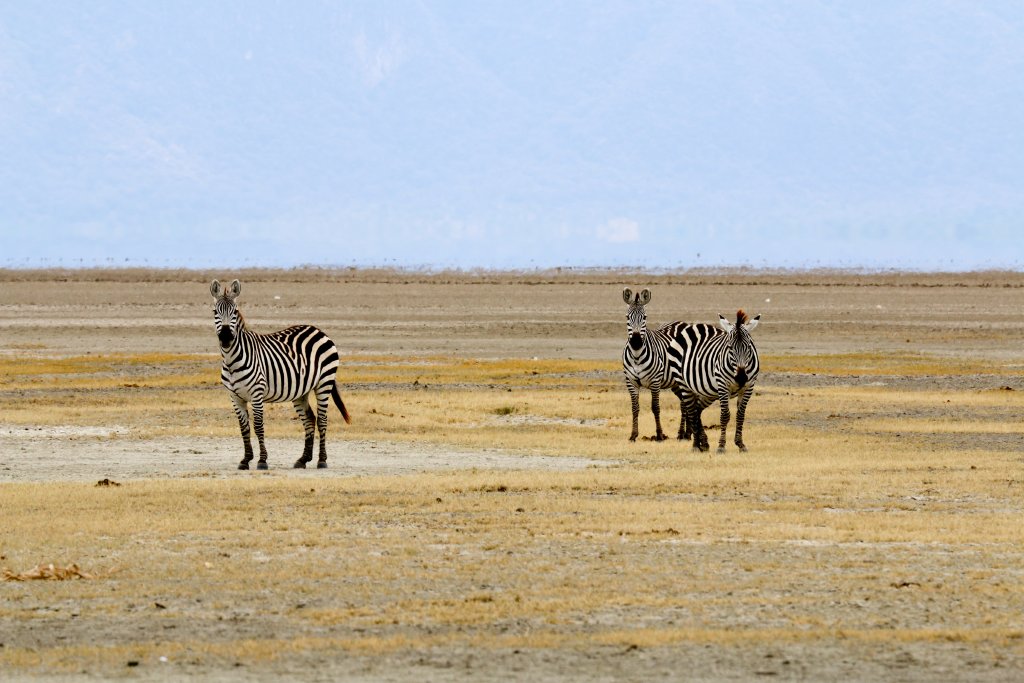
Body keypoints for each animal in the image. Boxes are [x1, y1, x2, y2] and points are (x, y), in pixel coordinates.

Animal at [210, 279, 351, 470]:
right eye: (215, 311)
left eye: (235, 311)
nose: (225, 337)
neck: (232, 361)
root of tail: (317, 330)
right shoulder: (235, 397)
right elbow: (244, 428)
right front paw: (245, 460)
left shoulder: (257, 394)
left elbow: (258, 426)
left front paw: (262, 461)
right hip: (301, 391)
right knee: (310, 419)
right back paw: (303, 459)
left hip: (324, 383)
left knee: (322, 419)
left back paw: (322, 460)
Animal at [621, 287, 696, 443]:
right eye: (627, 317)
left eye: (644, 317)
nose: (636, 342)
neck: (636, 356)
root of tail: (682, 322)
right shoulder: (631, 382)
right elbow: (634, 408)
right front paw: (633, 435)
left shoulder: (655, 381)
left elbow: (655, 407)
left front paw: (660, 435)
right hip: (675, 383)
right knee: (685, 403)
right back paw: (686, 433)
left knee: (685, 404)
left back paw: (684, 434)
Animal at [673, 310, 761, 453]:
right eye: (729, 347)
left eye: (748, 347)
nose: (741, 378)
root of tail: (695, 325)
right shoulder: (723, 385)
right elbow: (725, 415)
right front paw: (721, 446)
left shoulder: (749, 386)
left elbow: (740, 415)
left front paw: (740, 444)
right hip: (684, 384)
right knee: (691, 411)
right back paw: (696, 445)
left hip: (707, 391)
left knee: (697, 409)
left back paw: (703, 443)